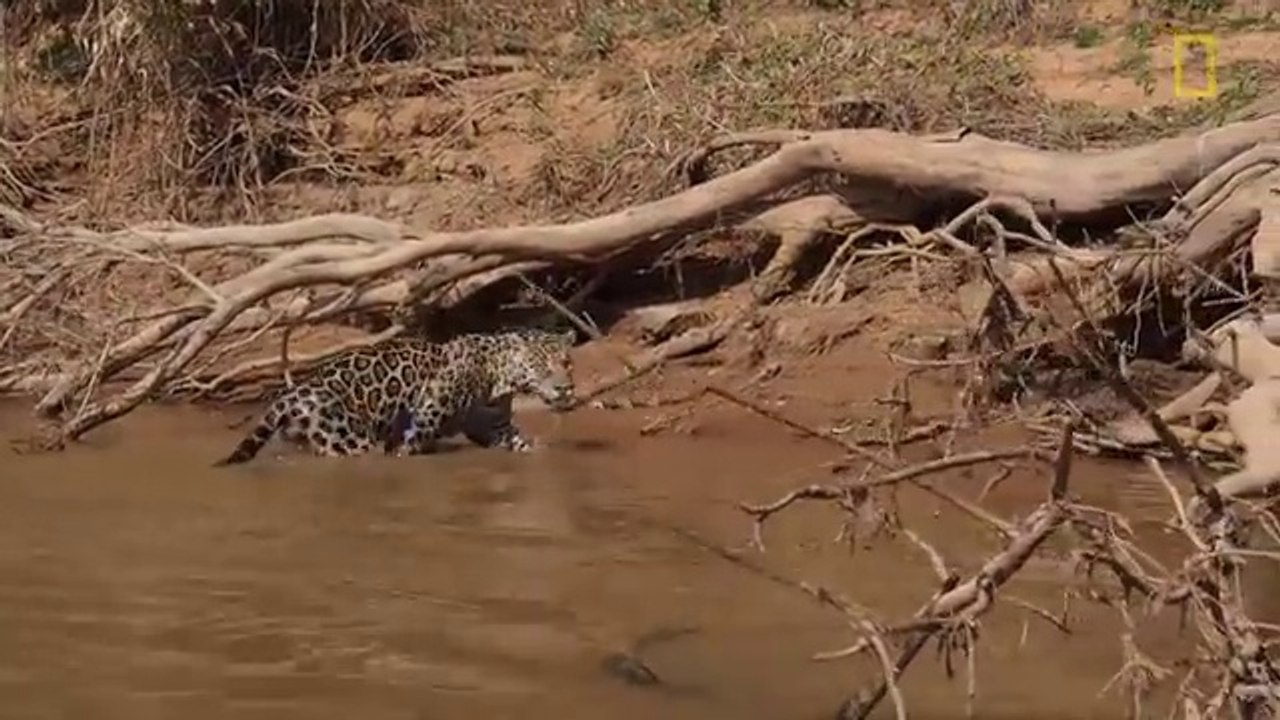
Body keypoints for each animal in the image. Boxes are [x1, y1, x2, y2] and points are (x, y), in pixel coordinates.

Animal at [213, 327, 577, 466]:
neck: (498, 376)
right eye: (542, 366)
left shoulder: (493, 425)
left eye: (567, 363)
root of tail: (292, 395)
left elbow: (518, 440)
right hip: (347, 436)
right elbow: (410, 444)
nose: (565, 388)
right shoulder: (426, 414)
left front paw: (542, 452)